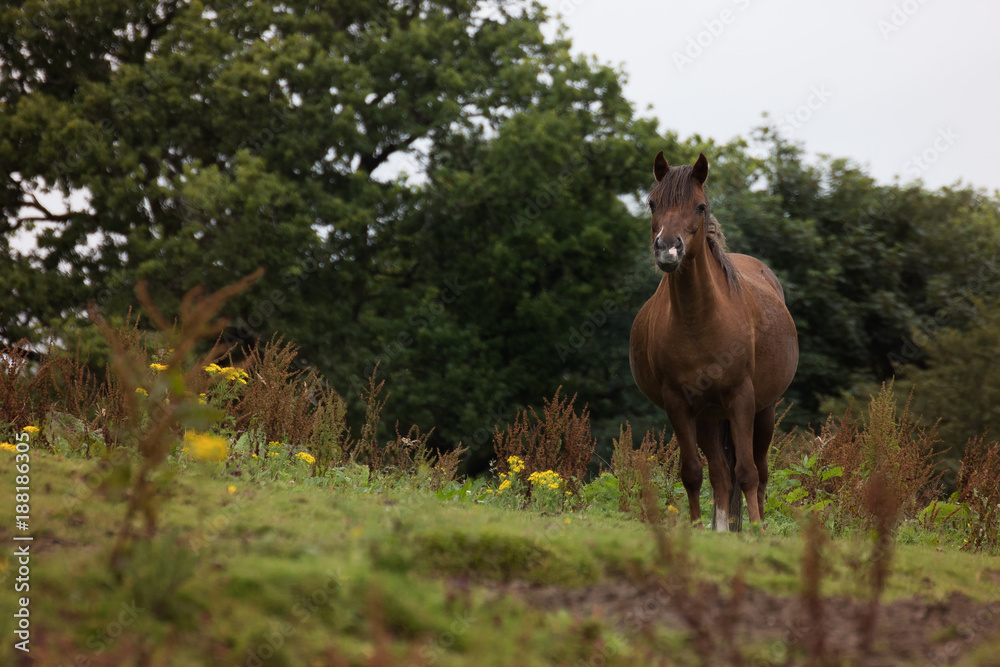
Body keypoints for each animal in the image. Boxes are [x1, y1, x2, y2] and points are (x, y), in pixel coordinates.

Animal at [629, 152, 798, 531]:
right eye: (652, 203)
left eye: (700, 206)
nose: (668, 250)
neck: (700, 323)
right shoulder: (678, 403)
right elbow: (693, 473)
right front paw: (694, 528)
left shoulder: (741, 398)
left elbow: (748, 472)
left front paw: (757, 530)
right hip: (707, 415)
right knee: (720, 473)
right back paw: (720, 528)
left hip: (764, 411)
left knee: (759, 471)